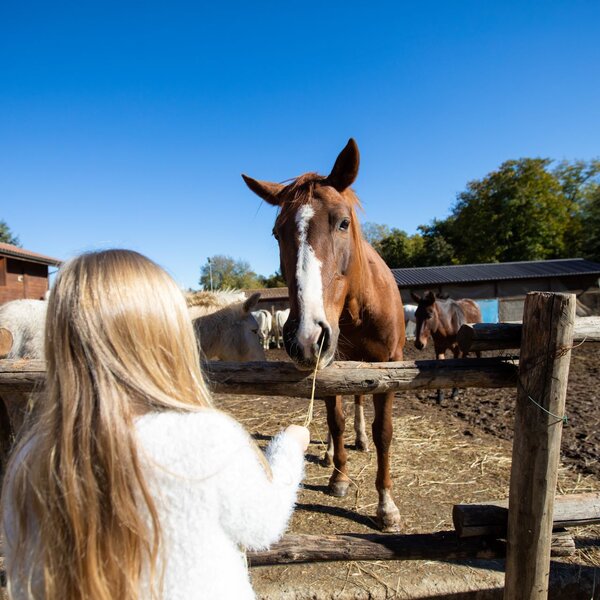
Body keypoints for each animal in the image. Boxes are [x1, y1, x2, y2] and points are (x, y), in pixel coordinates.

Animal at [241, 139, 406, 528]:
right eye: (277, 233)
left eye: (343, 222)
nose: (305, 337)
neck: (359, 308)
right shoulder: (330, 365)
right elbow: (336, 420)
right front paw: (339, 477)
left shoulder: (392, 367)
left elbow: (384, 432)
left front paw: (386, 505)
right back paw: (333, 453)